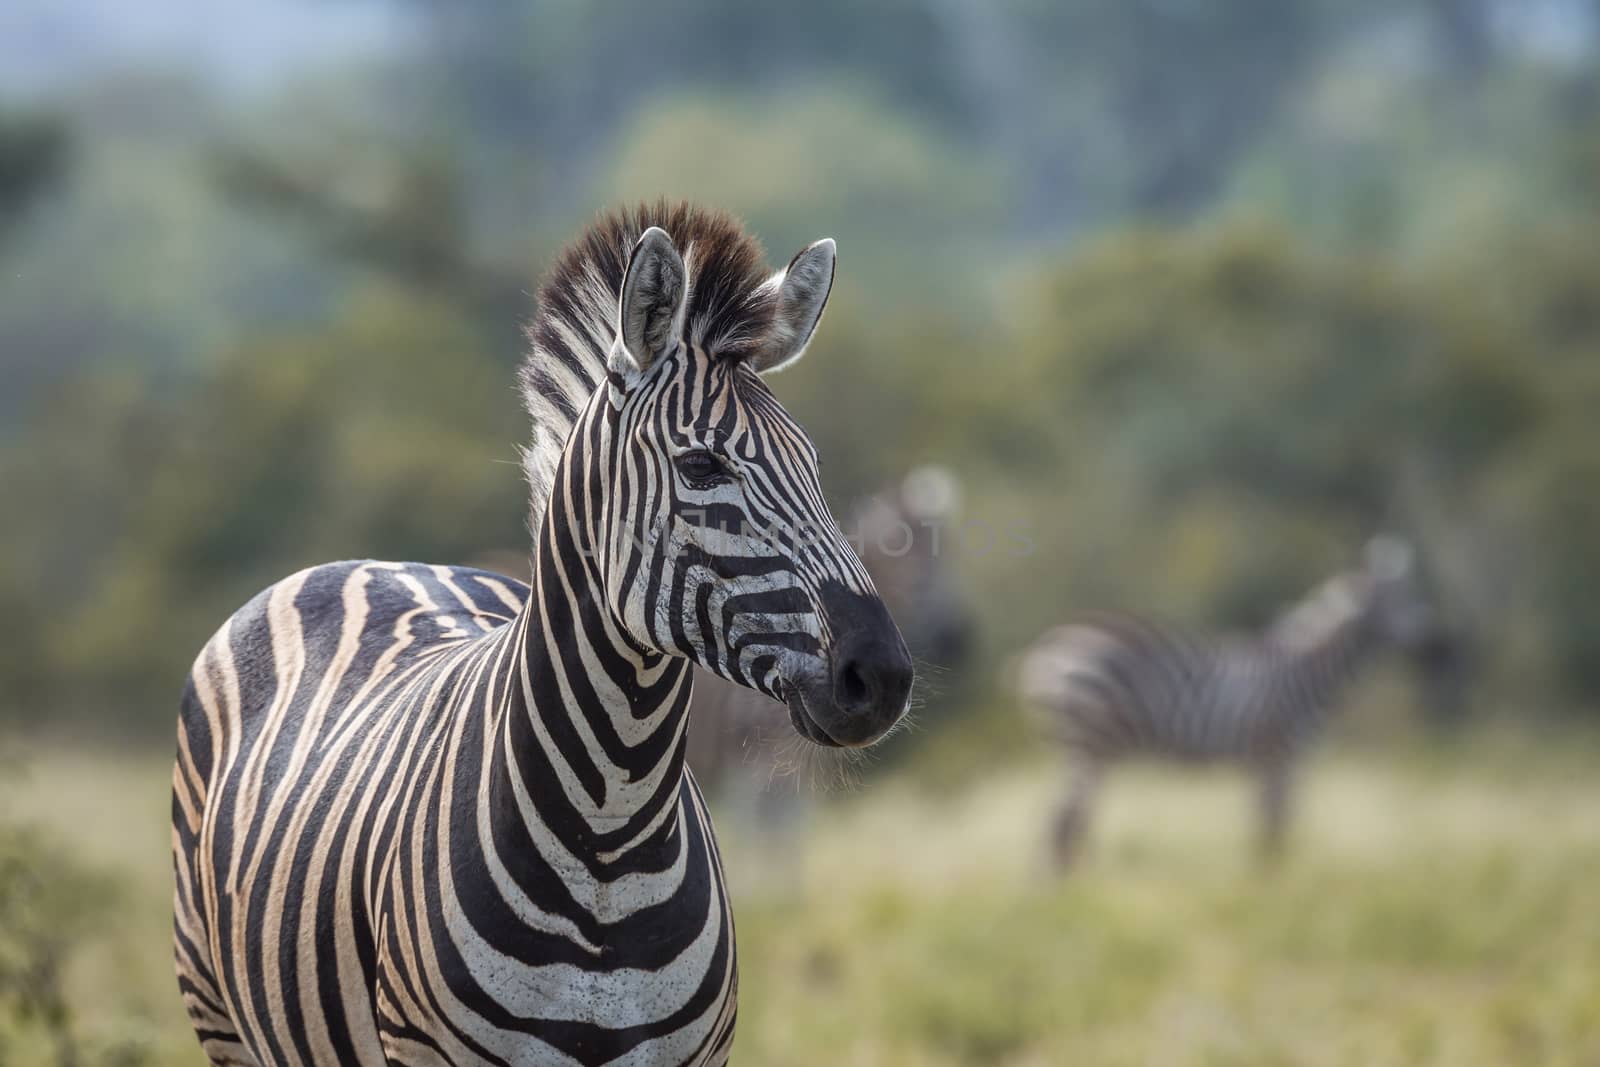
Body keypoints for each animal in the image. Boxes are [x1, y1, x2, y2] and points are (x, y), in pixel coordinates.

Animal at [173, 202, 915, 1067]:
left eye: (814, 466)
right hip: (219, 1014)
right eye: (700, 467)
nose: (882, 675)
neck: (611, 837)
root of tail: (373, 561)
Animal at [1017, 537, 1446, 870]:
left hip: (1084, 746)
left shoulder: (1283, 764)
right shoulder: (1277, 756)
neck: (1309, 676)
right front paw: (1273, 883)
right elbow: (1273, 826)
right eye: (1402, 599)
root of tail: (1049, 647)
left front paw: (1272, 880)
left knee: (1068, 820)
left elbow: (1273, 824)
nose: (1433, 636)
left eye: (1415, 595)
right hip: (1087, 740)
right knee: (1061, 821)